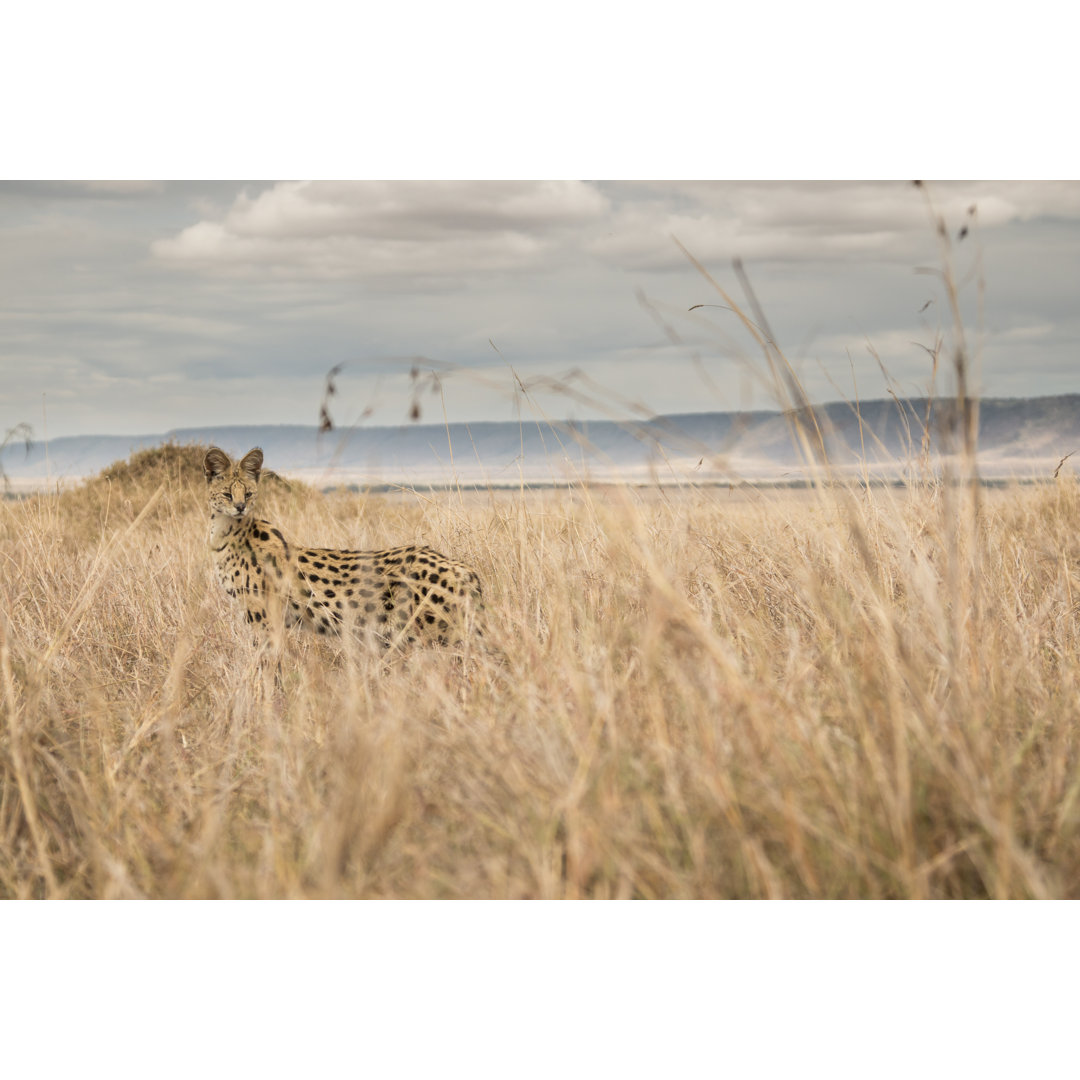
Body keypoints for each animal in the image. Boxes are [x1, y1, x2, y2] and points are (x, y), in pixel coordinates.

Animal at [204, 447, 483, 648]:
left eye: (248, 493)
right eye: (227, 493)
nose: (240, 507)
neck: (226, 532)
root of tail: (462, 568)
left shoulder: (264, 620)